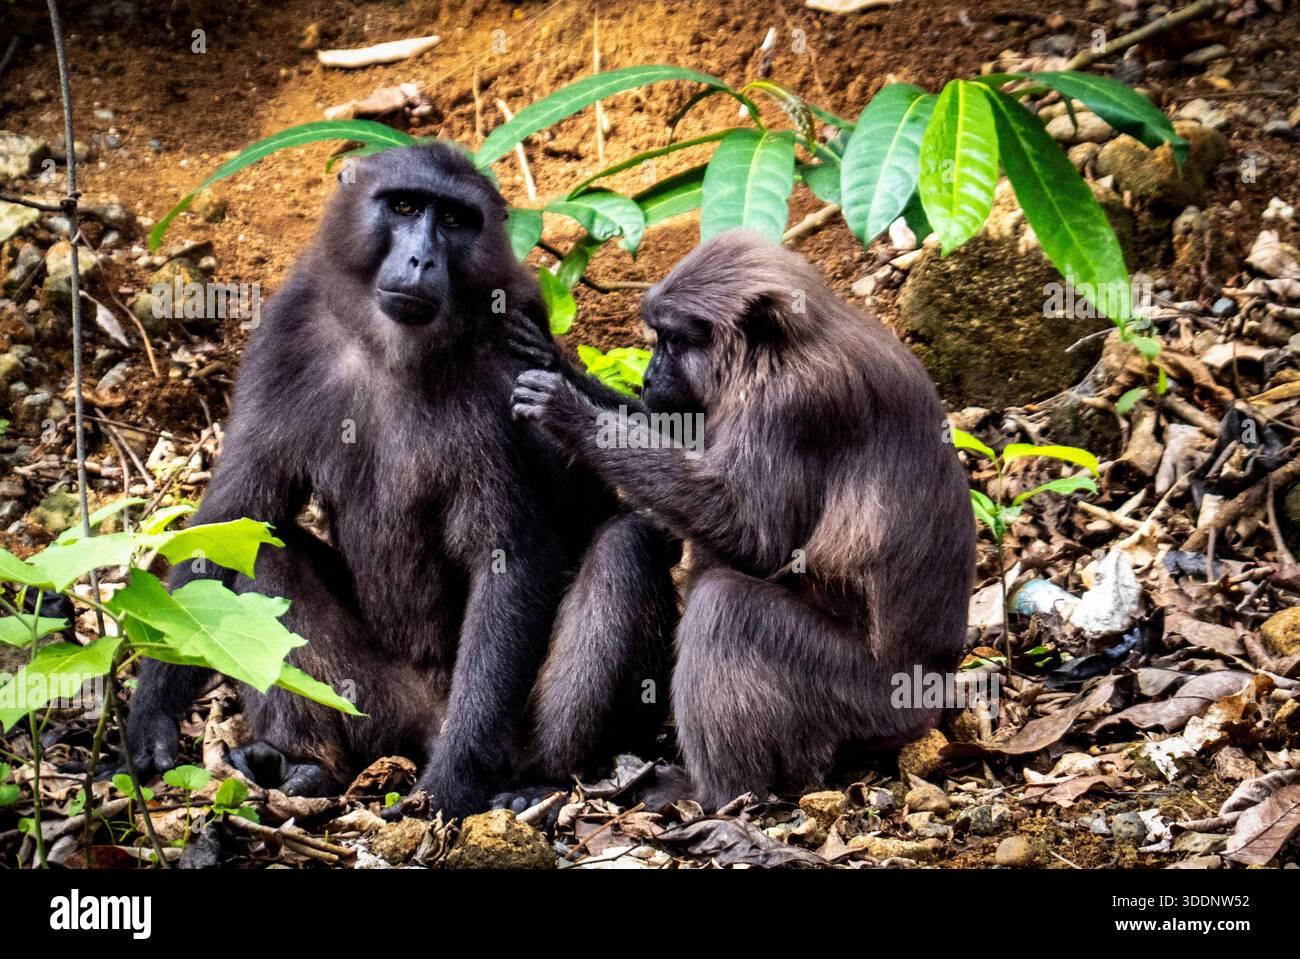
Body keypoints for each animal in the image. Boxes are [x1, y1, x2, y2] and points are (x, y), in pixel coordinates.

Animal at [125, 142, 677, 817]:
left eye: (457, 220)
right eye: (407, 206)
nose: (421, 260)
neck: (394, 349)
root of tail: (428, 723)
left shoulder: (507, 354)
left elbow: (510, 556)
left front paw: (453, 782)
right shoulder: (286, 337)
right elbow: (235, 518)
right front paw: (152, 712)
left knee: (628, 546)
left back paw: (535, 778)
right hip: (372, 705)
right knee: (266, 549)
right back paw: (304, 766)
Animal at [510, 230, 976, 809]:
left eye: (673, 341)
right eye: (657, 339)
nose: (649, 376)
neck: (787, 347)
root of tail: (931, 689)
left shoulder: (794, 402)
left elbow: (755, 539)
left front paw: (571, 416)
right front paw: (559, 363)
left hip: (865, 700)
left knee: (725, 608)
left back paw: (717, 793)